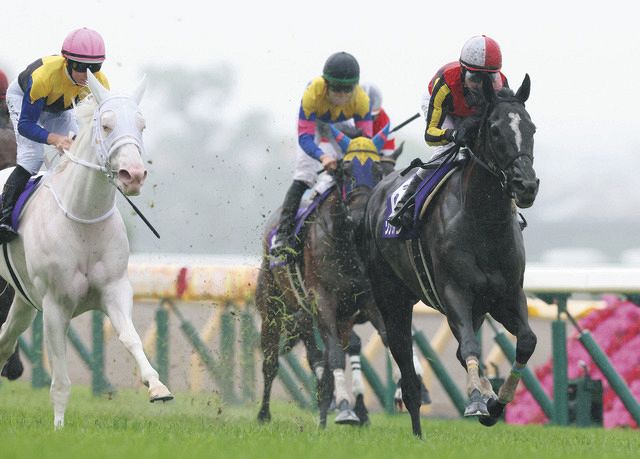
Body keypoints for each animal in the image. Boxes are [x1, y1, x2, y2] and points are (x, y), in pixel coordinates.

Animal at [0, 71, 172, 429]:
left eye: (142, 125)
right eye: (106, 125)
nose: (134, 175)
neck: (83, 219)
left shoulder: (114, 290)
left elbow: (131, 338)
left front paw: (157, 386)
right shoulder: (55, 304)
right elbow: (61, 379)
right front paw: (58, 427)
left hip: (24, 299)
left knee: (5, 339)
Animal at [256, 126, 395, 427]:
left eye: (379, 172)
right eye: (345, 170)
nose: (360, 215)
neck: (346, 244)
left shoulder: (366, 301)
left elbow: (385, 339)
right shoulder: (323, 302)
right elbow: (333, 357)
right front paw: (344, 409)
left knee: (325, 357)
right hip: (273, 310)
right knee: (272, 361)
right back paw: (264, 413)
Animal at [363, 75, 539, 438]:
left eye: (531, 127)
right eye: (495, 130)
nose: (526, 185)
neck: (484, 223)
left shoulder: (505, 295)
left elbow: (526, 341)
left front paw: (495, 403)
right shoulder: (455, 293)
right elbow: (469, 347)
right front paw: (476, 400)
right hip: (392, 300)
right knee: (406, 364)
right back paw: (418, 431)